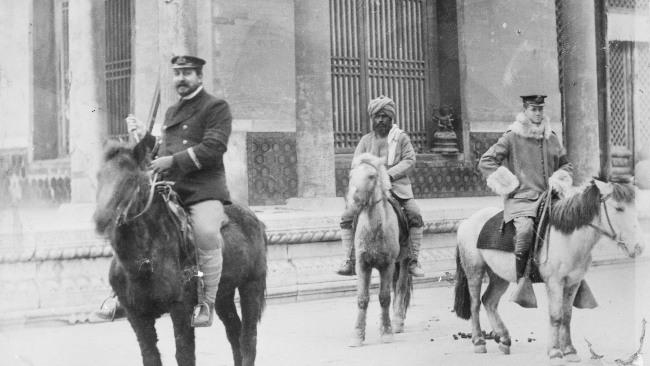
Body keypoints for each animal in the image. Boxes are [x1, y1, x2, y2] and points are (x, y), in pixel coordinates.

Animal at [93, 141, 266, 366]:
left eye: (130, 179)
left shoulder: (181, 310)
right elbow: (150, 356)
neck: (143, 260)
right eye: (99, 176)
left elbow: (184, 354)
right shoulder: (136, 316)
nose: (100, 220)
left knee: (248, 338)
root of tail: (255, 219)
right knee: (234, 332)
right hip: (223, 294)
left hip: (251, 286)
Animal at [346, 153, 412, 348]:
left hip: (404, 260)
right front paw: (358, 335)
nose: (353, 202)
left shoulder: (387, 265)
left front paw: (387, 332)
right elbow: (362, 299)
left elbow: (384, 297)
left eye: (371, 176)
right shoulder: (362, 264)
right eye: (351, 176)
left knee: (401, 287)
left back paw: (397, 321)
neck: (375, 229)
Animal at [454, 177, 640, 364]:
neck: (568, 238)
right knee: (475, 304)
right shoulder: (555, 282)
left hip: (499, 276)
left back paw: (504, 340)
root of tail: (467, 221)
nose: (639, 247)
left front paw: (569, 350)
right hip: (475, 270)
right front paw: (555, 351)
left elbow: (567, 316)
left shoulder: (573, 283)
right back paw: (479, 341)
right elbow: (556, 316)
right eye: (619, 208)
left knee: (489, 301)